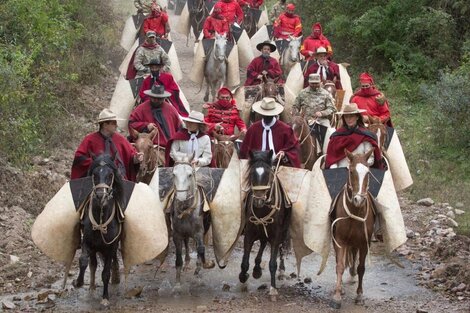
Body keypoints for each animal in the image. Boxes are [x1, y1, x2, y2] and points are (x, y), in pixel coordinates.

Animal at [73, 153, 123, 304]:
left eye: (110, 174)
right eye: (94, 175)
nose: (101, 195)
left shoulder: (111, 247)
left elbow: (106, 272)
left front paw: (105, 297)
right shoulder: (87, 242)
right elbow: (84, 261)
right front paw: (78, 282)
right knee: (93, 264)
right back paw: (91, 287)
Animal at [170, 154, 214, 288]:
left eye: (190, 174)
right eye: (174, 174)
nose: (180, 198)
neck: (186, 211)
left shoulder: (199, 232)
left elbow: (201, 248)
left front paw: (201, 267)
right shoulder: (176, 234)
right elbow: (178, 257)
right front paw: (177, 281)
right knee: (186, 243)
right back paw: (187, 262)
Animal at [328, 148, 376, 308]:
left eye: (368, 173)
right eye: (351, 171)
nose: (358, 199)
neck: (355, 212)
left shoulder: (364, 243)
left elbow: (362, 268)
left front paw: (359, 295)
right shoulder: (340, 241)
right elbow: (340, 265)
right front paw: (337, 296)